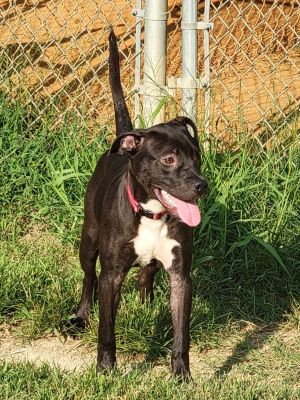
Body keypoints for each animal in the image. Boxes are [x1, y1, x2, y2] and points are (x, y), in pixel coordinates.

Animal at [74, 27, 207, 378]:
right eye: (169, 159)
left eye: (197, 157)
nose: (201, 186)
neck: (151, 215)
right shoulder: (111, 274)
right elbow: (106, 329)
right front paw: (106, 369)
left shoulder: (181, 277)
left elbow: (181, 334)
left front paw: (181, 375)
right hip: (89, 238)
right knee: (88, 278)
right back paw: (81, 315)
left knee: (146, 273)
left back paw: (144, 304)